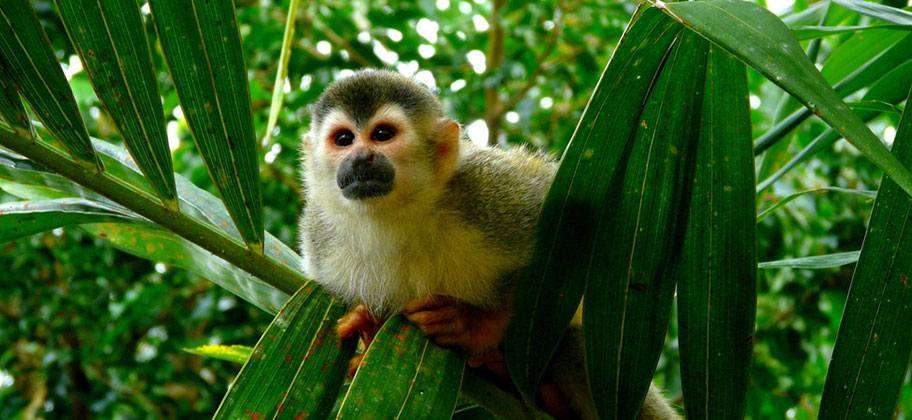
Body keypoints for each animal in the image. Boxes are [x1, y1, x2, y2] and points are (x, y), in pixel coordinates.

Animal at [298, 70, 676, 418]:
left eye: (382, 135)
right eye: (344, 139)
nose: (361, 157)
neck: (398, 216)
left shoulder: (488, 193)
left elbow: (586, 227)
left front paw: (474, 325)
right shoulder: (321, 244)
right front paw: (370, 331)